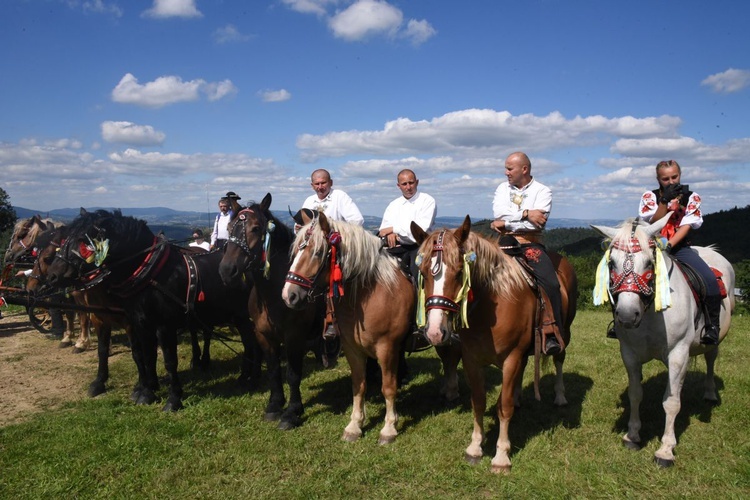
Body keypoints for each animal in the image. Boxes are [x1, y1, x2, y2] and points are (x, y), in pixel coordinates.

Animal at [47, 209, 262, 408]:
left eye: (82, 241)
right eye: (64, 239)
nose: (52, 275)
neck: (150, 273)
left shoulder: (163, 326)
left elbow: (168, 360)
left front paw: (173, 399)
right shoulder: (140, 323)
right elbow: (146, 356)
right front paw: (146, 392)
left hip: (242, 316)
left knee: (251, 342)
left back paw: (248, 377)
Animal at [219, 194, 322, 430]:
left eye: (256, 228)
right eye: (229, 227)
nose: (227, 270)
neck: (275, 296)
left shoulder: (295, 336)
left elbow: (293, 374)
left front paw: (292, 412)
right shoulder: (263, 335)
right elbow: (274, 370)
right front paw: (275, 405)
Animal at [284, 211, 464, 446]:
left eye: (318, 252)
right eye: (296, 251)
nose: (289, 295)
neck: (370, 295)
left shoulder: (387, 349)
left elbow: (388, 387)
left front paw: (388, 428)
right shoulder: (352, 349)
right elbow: (359, 385)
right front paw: (354, 425)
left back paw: (452, 391)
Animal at [414, 216, 580, 472]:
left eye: (460, 272)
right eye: (423, 272)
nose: (434, 332)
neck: (492, 304)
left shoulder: (511, 358)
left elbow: (504, 406)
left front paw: (501, 456)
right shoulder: (472, 360)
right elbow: (479, 402)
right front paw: (475, 447)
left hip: (565, 332)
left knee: (559, 358)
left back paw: (560, 396)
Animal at [596, 217, 736, 466]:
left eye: (649, 262)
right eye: (611, 263)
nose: (627, 315)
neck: (650, 312)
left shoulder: (678, 353)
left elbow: (671, 401)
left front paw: (665, 449)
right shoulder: (629, 353)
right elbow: (635, 394)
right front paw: (632, 435)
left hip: (714, 340)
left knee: (711, 359)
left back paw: (710, 393)